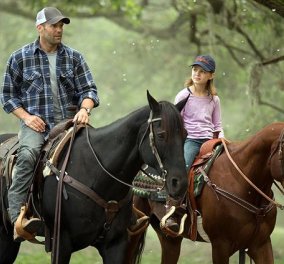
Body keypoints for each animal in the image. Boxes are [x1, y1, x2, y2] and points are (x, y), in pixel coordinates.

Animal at [0, 91, 189, 264]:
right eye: (161, 134)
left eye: (186, 134)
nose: (179, 183)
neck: (96, 174)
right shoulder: (61, 243)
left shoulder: (116, 245)